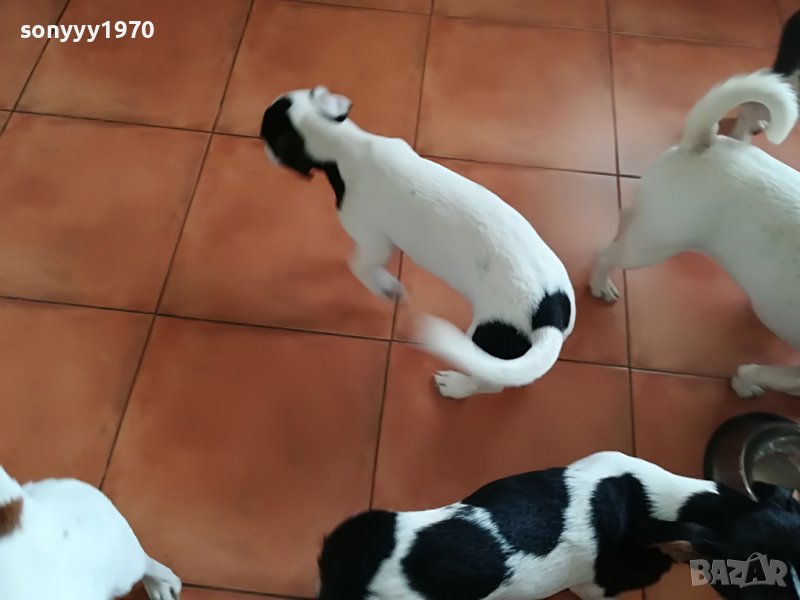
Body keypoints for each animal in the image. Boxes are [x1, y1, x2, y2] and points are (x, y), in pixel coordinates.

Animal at [259, 87, 575, 399]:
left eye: (266, 136)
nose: (263, 151)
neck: (345, 145)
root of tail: (549, 312)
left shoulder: (372, 241)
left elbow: (358, 266)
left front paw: (385, 287)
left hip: (489, 337)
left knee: (490, 381)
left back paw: (456, 386)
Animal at [590, 69, 800, 398]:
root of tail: (704, 143)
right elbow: (768, 374)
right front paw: (745, 384)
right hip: (655, 245)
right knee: (605, 254)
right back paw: (600, 285)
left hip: (650, 225)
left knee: (624, 222)